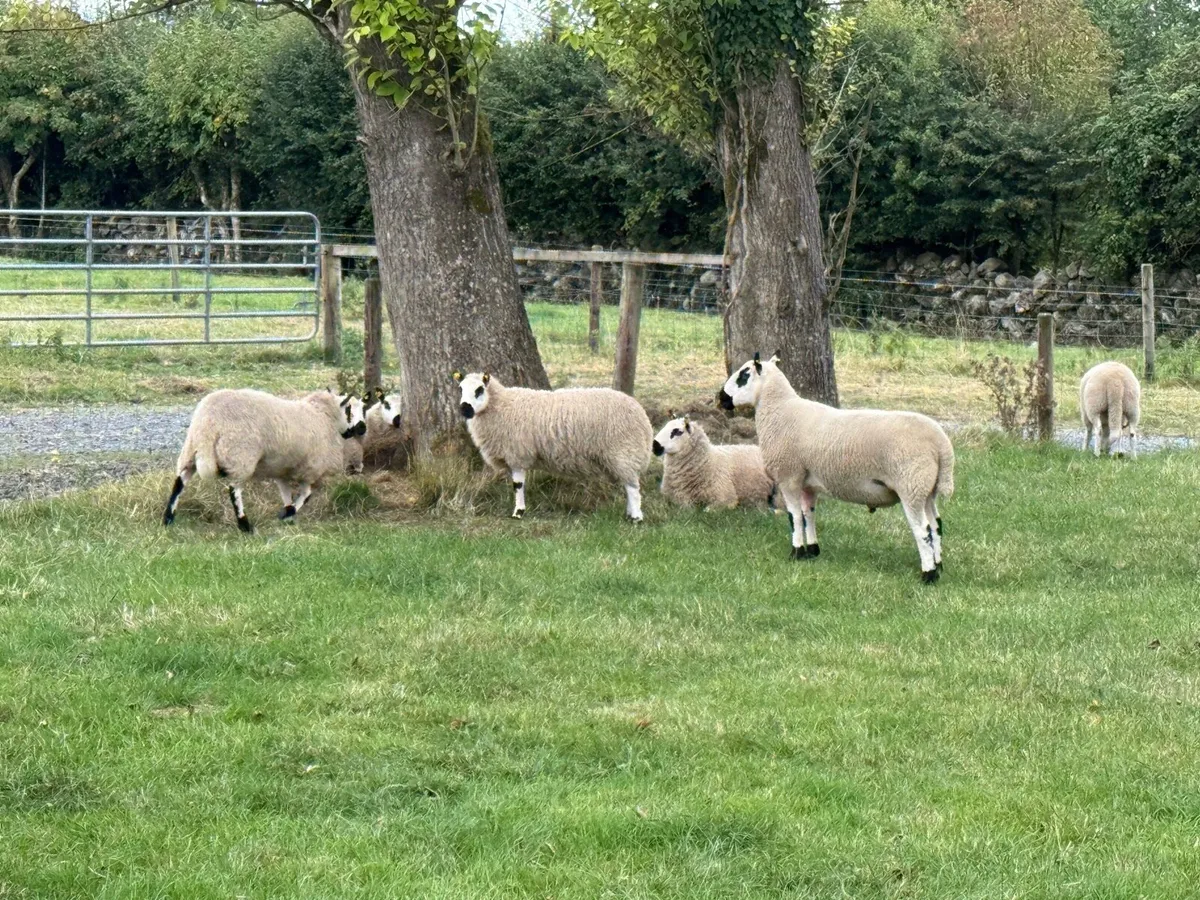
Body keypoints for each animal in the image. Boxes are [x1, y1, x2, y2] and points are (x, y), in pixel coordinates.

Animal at [162, 387, 367, 533]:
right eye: (350, 409)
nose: (362, 428)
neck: (323, 415)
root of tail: (209, 422)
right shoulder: (310, 468)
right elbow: (306, 495)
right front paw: (288, 514)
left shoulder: (282, 469)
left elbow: (286, 494)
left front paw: (288, 514)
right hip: (240, 455)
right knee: (234, 490)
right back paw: (245, 525)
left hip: (191, 450)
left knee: (180, 481)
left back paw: (168, 518)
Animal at [454, 371, 653, 520]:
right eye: (460, 388)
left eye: (479, 389)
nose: (465, 408)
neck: (501, 405)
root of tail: (642, 415)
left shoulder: (517, 454)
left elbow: (518, 485)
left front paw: (518, 512)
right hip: (622, 455)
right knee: (629, 484)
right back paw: (629, 514)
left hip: (623, 451)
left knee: (633, 487)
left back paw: (636, 517)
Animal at [719, 353, 954, 583]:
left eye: (743, 376)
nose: (720, 397)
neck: (780, 410)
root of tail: (942, 445)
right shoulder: (807, 483)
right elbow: (808, 514)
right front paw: (812, 551)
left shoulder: (789, 476)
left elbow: (794, 517)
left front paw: (796, 552)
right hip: (926, 489)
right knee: (936, 525)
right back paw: (939, 567)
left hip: (910, 485)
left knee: (922, 530)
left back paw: (928, 575)